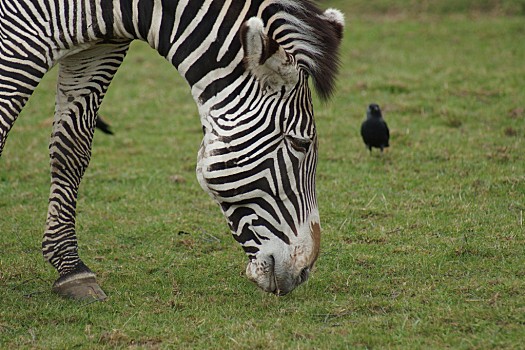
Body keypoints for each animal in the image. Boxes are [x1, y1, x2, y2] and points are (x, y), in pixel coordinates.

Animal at [0, 0, 344, 300]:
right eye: (300, 143)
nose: (304, 271)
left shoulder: (101, 47)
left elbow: (72, 148)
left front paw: (71, 269)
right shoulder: (21, 31)